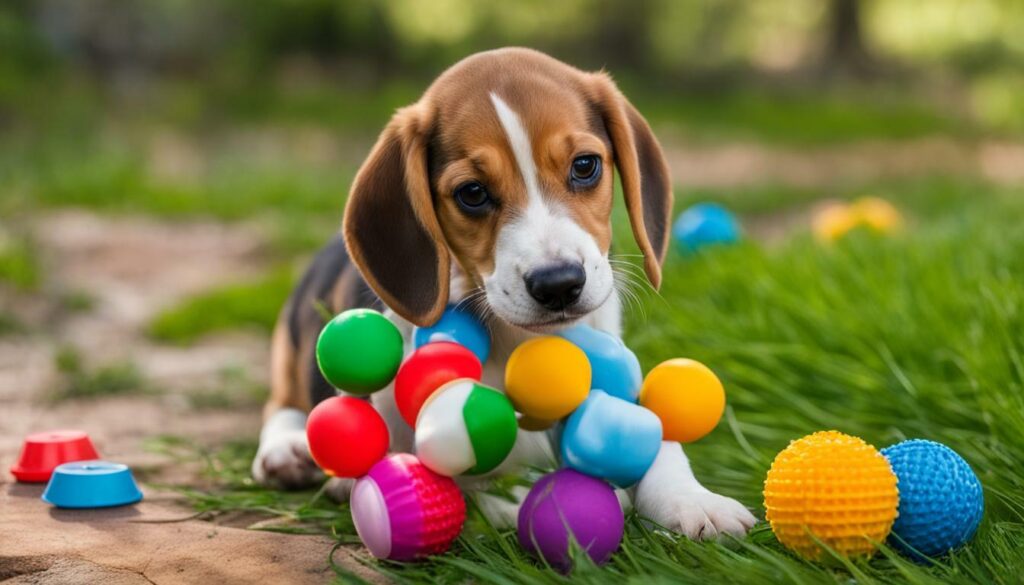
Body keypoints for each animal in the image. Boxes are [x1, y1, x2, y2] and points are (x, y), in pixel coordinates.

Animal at [251, 48, 757, 540]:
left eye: (585, 166)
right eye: (472, 192)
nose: (558, 284)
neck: (521, 340)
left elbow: (662, 442)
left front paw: (692, 502)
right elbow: (473, 480)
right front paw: (532, 500)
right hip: (293, 341)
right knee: (282, 403)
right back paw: (286, 451)